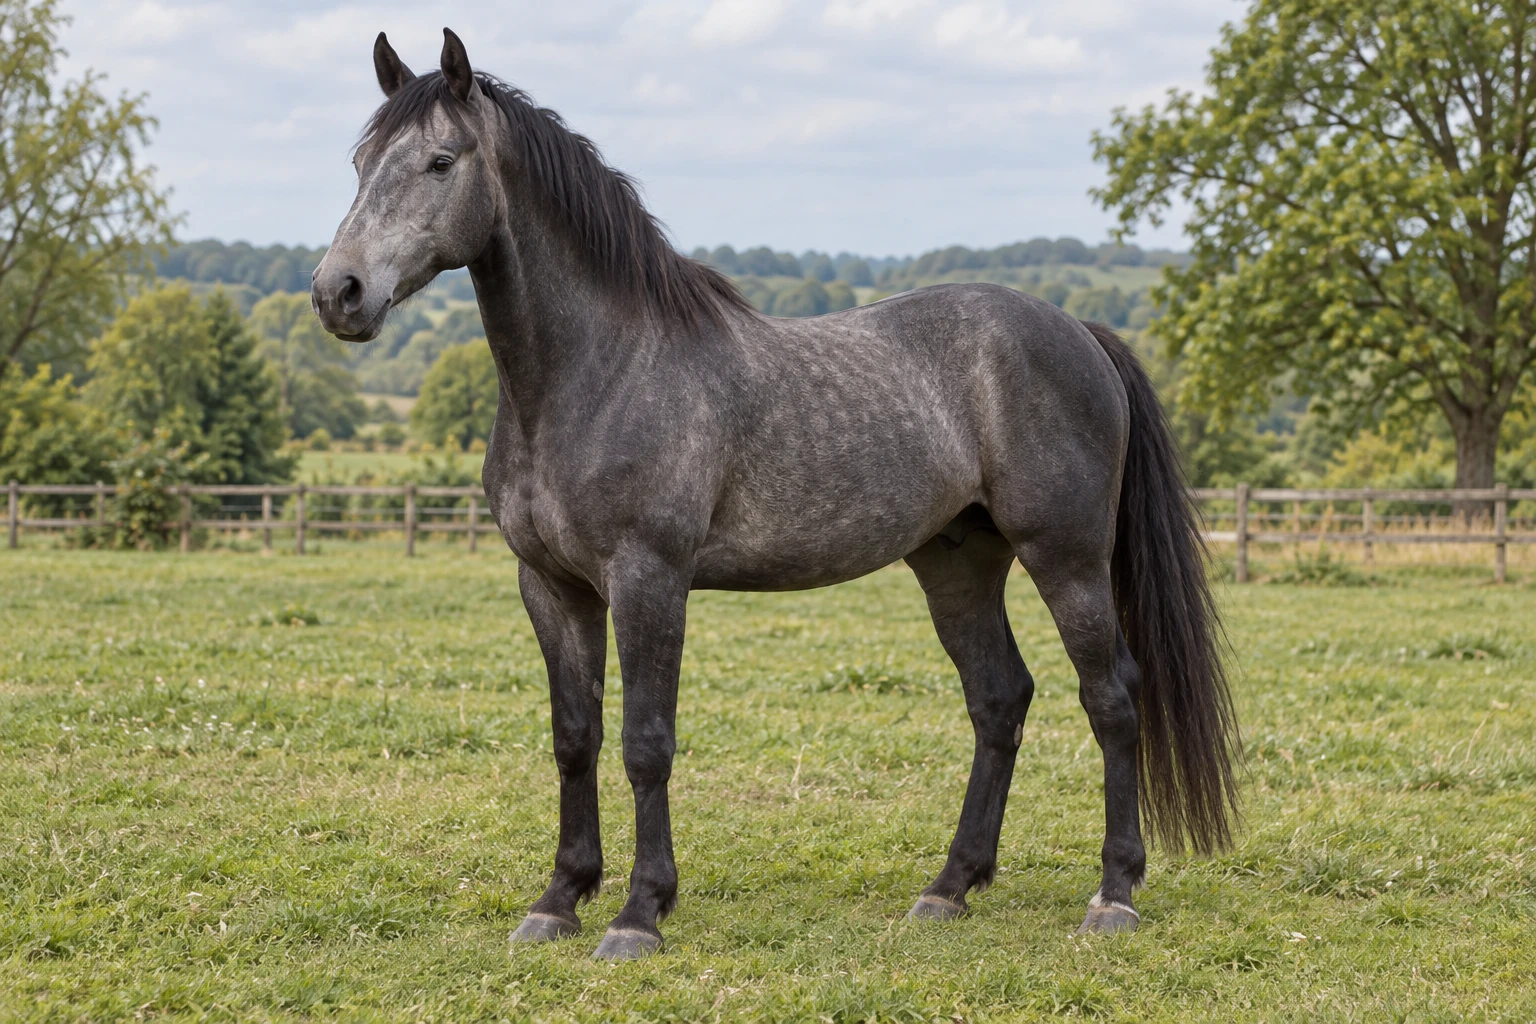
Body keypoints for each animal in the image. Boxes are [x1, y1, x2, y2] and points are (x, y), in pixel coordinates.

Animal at [311, 28, 1241, 960]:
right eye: (357, 162)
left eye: (440, 161)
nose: (337, 293)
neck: (598, 371)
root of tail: (1076, 329)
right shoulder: (550, 585)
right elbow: (574, 737)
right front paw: (559, 899)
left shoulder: (649, 579)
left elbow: (646, 742)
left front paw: (639, 912)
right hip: (958, 563)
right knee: (999, 699)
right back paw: (949, 887)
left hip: (1067, 557)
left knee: (1111, 698)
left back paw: (1113, 892)